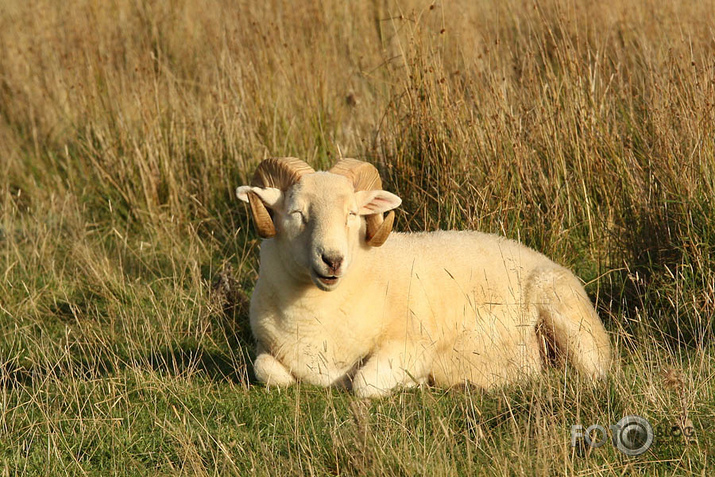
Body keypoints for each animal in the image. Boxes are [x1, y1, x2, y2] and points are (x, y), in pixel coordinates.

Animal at [238, 157, 612, 398]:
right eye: (296, 212)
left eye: (352, 214)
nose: (332, 260)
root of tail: (542, 257)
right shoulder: (267, 349)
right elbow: (267, 371)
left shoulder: (412, 345)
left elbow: (365, 383)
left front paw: (414, 383)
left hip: (570, 323)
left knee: (591, 375)